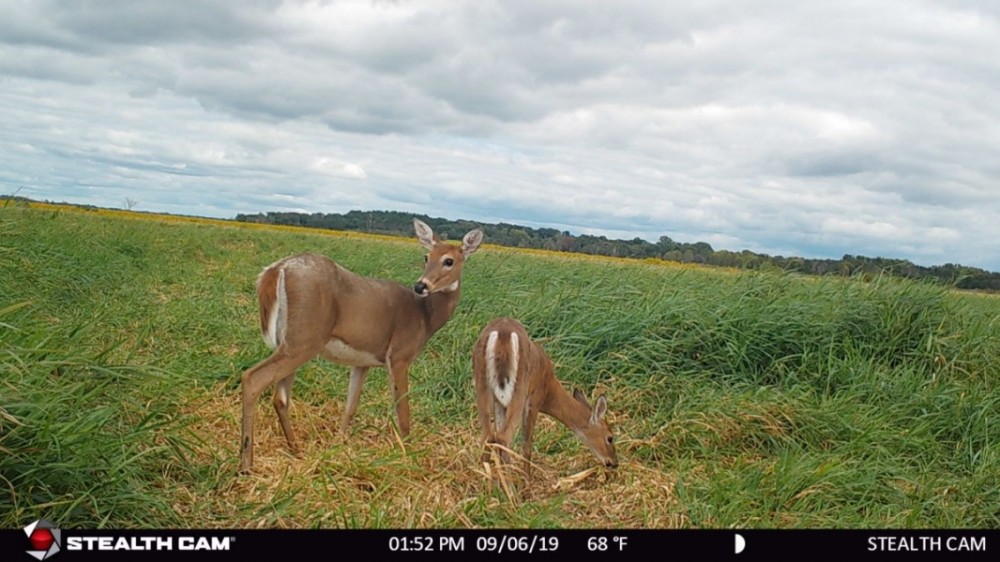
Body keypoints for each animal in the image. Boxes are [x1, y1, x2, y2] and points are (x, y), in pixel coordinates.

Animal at [239, 218, 484, 472]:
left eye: (449, 261)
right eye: (426, 256)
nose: (421, 286)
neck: (425, 316)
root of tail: (278, 268)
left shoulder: (362, 362)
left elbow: (351, 406)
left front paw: (337, 447)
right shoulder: (399, 355)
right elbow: (402, 408)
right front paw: (408, 455)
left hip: (290, 340)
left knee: (280, 398)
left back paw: (296, 450)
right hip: (304, 339)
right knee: (253, 378)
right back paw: (246, 463)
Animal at [472, 317, 618, 478]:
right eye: (610, 437)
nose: (614, 463)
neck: (549, 391)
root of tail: (502, 336)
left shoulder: (501, 403)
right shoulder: (534, 400)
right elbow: (526, 445)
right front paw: (526, 481)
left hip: (482, 387)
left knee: (489, 435)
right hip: (519, 391)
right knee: (503, 438)